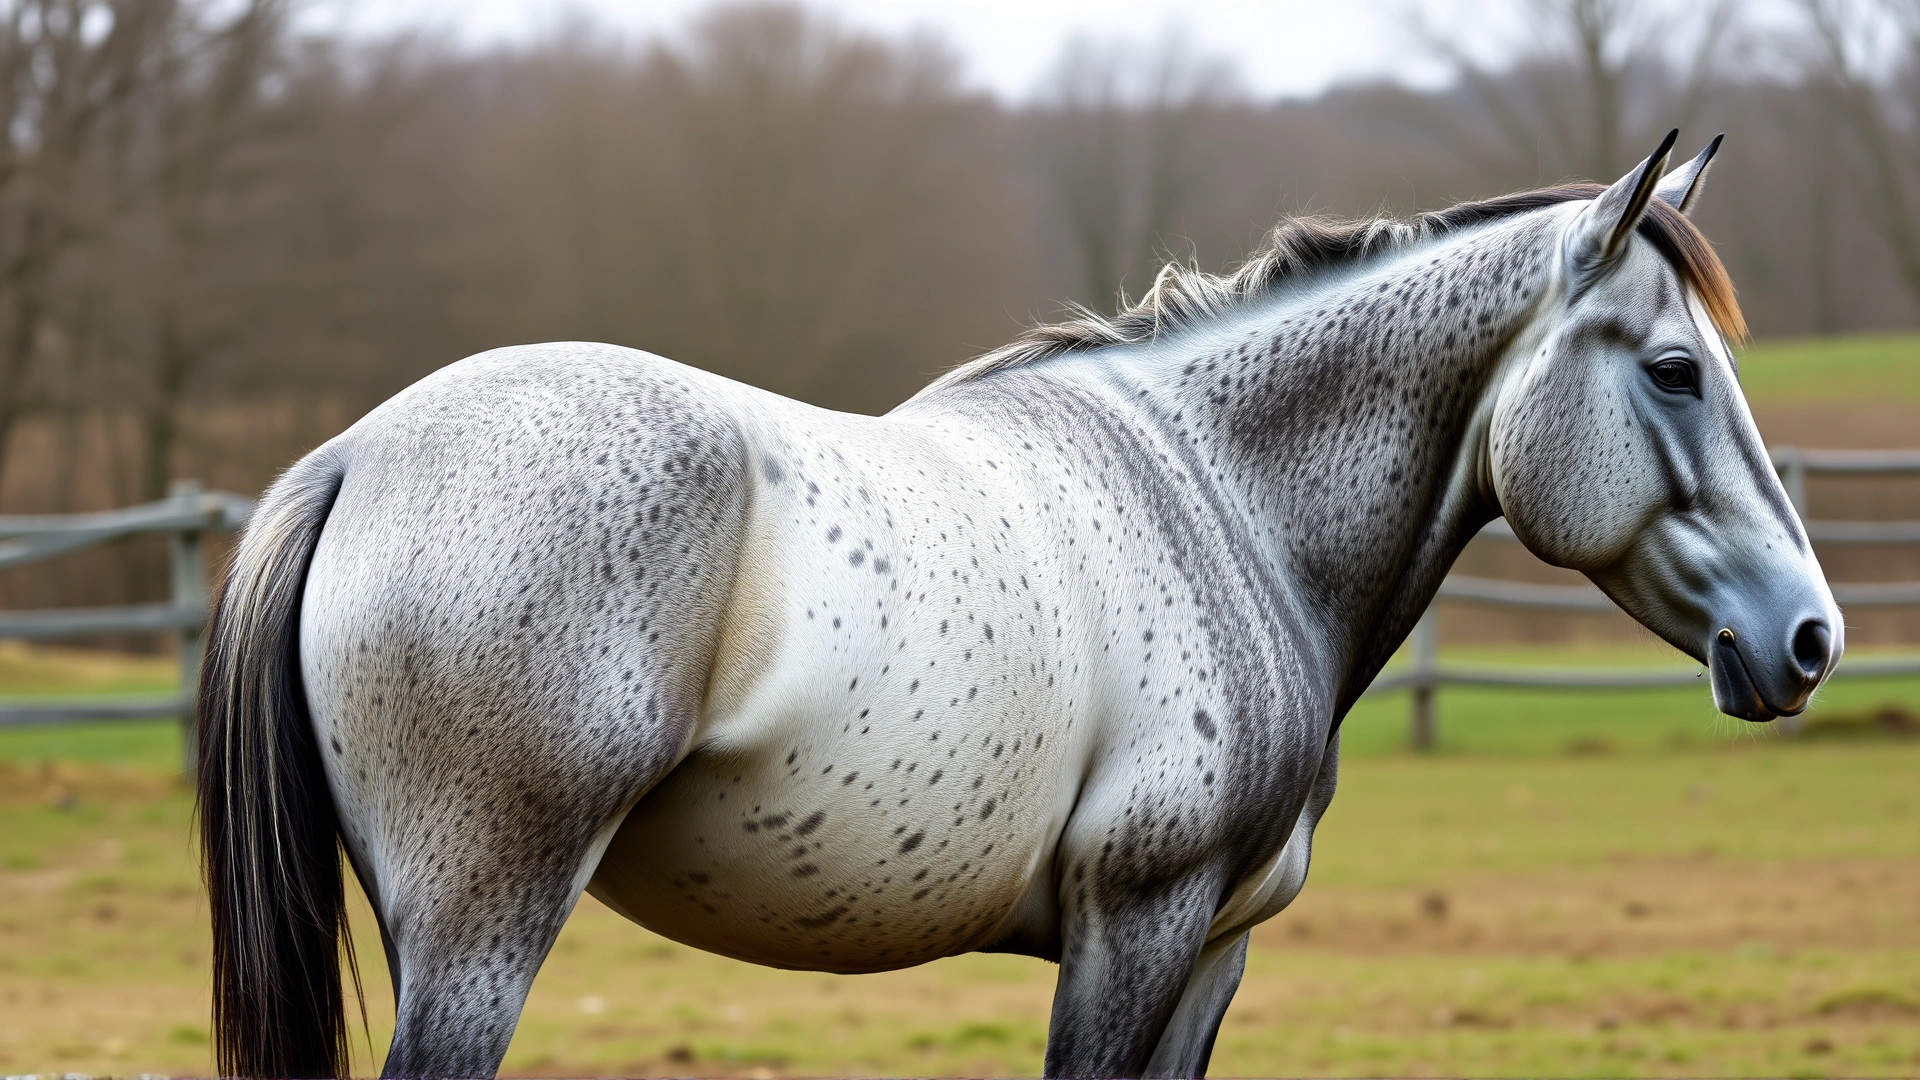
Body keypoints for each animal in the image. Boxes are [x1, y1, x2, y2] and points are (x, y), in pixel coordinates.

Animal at [198, 130, 1840, 1079]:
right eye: (1675, 370)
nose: (1810, 637)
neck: (1217, 497)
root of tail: (352, 457)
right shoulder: (1135, 929)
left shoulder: (1212, 953)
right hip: (483, 930)